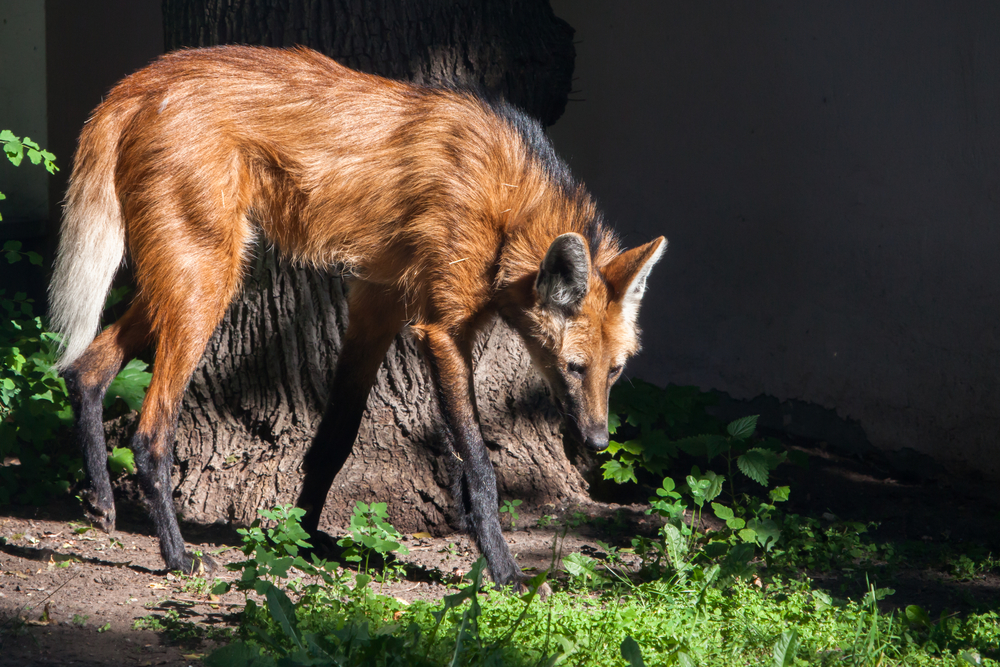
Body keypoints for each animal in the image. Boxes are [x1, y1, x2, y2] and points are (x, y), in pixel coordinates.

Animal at [48, 45, 665, 590]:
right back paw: (178, 558)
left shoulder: (378, 305)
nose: (598, 442)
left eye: (613, 371)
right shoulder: (441, 332)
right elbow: (479, 468)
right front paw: (505, 571)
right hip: (209, 278)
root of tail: (139, 83)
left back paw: (101, 502)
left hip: (188, 275)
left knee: (85, 369)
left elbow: (335, 439)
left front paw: (298, 539)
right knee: (150, 434)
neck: (509, 208)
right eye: (574, 367)